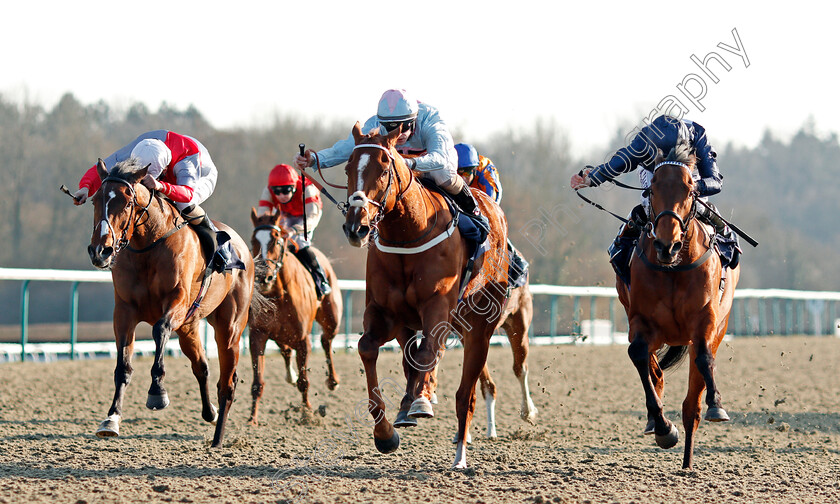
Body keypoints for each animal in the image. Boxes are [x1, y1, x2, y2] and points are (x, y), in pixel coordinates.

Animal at [88, 159, 256, 446]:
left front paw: (157, 392)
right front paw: (111, 419)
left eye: (127, 202)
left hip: (230, 327)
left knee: (228, 382)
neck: (147, 246)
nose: (101, 251)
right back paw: (210, 412)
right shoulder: (124, 311)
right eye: (95, 200)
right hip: (189, 327)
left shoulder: (176, 301)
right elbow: (123, 366)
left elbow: (159, 329)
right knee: (201, 366)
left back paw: (217, 438)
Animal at [248, 209, 342, 426]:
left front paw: (307, 412)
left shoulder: (302, 339)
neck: (279, 294)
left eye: (276, 240)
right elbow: (258, 382)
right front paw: (252, 419)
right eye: (253, 241)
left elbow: (304, 381)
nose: (263, 277)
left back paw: (332, 381)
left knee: (326, 340)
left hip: (331, 318)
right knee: (285, 349)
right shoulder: (257, 334)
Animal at [342, 123, 512, 468]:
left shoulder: (438, 309)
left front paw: (421, 402)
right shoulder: (385, 312)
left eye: (384, 169)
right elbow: (369, 348)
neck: (408, 234)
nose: (356, 226)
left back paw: (459, 454)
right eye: (348, 168)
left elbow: (426, 355)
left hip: (480, 326)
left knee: (465, 394)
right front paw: (386, 434)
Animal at [616, 144, 740, 470]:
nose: (666, 245)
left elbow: (704, 359)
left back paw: (688, 461)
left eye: (689, 190)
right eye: (652, 189)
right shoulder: (641, 321)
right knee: (654, 370)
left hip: (718, 326)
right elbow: (639, 356)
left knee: (691, 403)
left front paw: (716, 405)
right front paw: (661, 426)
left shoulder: (705, 321)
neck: (673, 268)